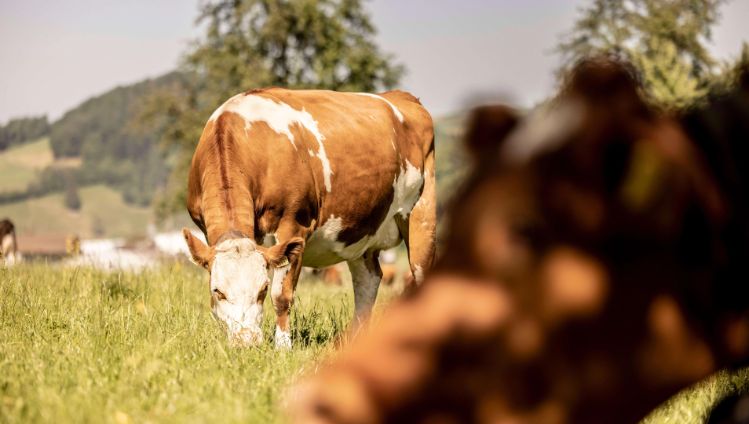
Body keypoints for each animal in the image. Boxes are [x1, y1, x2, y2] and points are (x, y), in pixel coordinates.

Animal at [182, 88, 436, 346]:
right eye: (218, 291)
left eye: (263, 288)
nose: (247, 342)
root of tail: (400, 96)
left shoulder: (293, 226)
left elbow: (281, 295)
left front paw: (283, 346)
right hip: (361, 232)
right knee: (369, 281)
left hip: (421, 214)